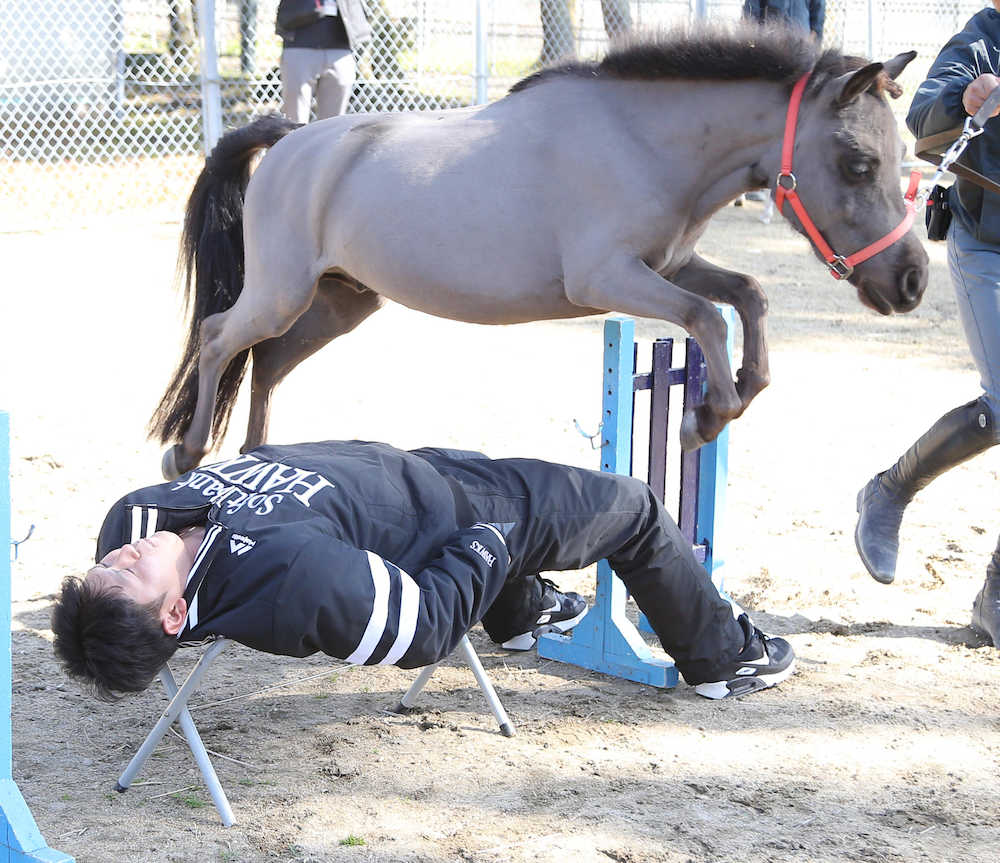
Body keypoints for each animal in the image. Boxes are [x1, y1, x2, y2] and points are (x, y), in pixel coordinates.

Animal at [150, 23, 929, 480]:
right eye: (858, 163)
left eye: (905, 156)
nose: (912, 280)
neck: (642, 141)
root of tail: (289, 139)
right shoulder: (606, 278)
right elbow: (706, 316)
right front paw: (703, 418)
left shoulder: (669, 265)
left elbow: (748, 296)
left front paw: (734, 391)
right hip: (280, 293)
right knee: (219, 338)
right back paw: (185, 453)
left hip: (341, 301)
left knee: (268, 360)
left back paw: (256, 454)